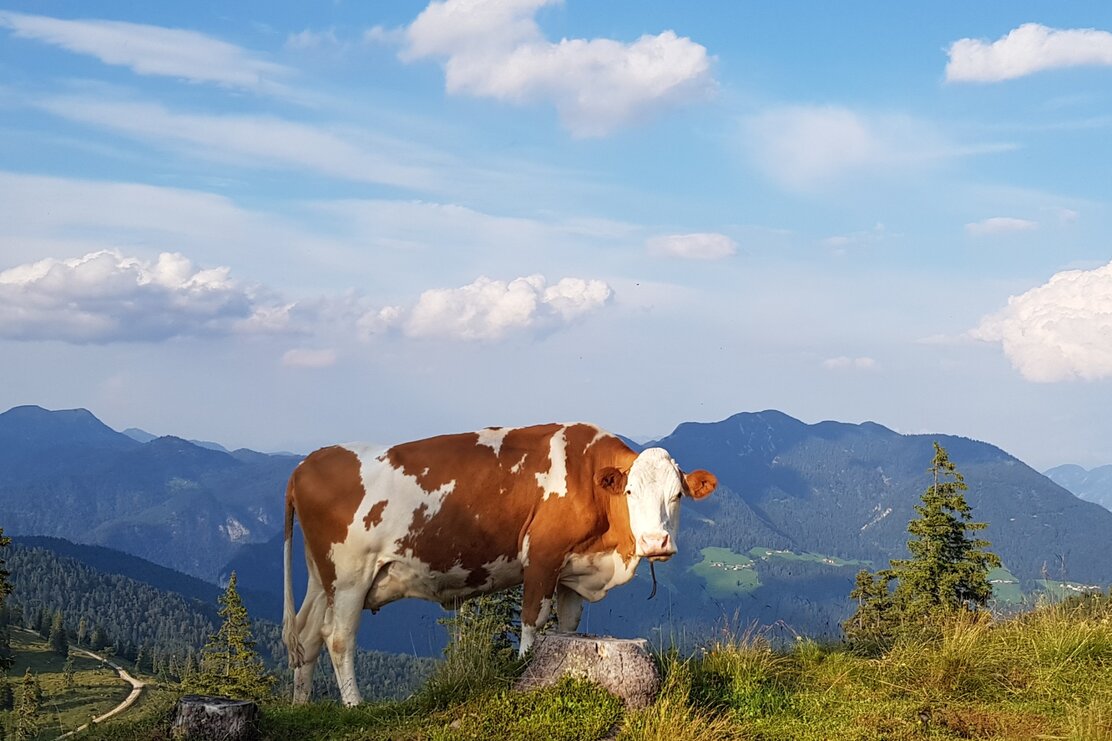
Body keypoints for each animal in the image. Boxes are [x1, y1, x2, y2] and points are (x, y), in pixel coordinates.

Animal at [281, 422, 716, 706]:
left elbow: (568, 627)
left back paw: (300, 706)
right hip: (350, 575)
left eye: (678, 494)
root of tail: (307, 464)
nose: (656, 542)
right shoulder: (542, 556)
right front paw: (521, 671)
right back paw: (354, 705)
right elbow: (532, 623)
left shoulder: (573, 571)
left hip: (322, 576)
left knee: (307, 635)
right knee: (338, 637)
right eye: (629, 492)